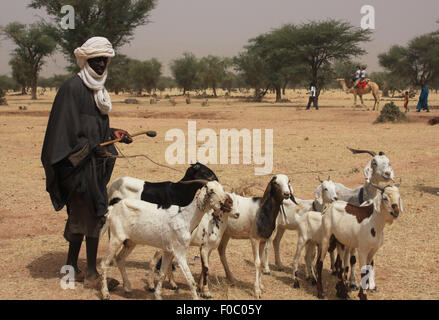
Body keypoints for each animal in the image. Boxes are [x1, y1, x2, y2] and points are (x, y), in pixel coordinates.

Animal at [99, 182, 234, 300]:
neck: (185, 218)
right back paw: (105, 293)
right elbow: (190, 280)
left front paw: (158, 295)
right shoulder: (180, 252)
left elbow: (162, 274)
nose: (229, 202)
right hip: (116, 238)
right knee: (104, 264)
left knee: (120, 259)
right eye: (211, 191)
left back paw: (127, 288)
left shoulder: (168, 251)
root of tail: (112, 209)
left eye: (222, 188)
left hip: (130, 242)